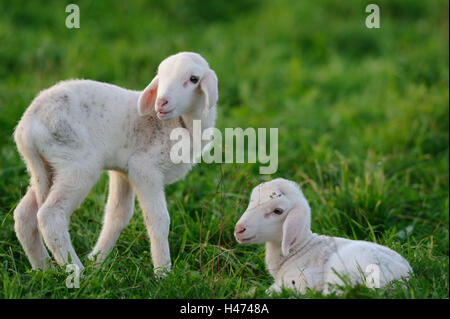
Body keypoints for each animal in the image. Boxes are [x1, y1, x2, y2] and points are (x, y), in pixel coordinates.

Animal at [13, 52, 218, 276]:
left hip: (46, 168)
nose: (161, 102)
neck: (181, 124)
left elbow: (117, 215)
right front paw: (163, 273)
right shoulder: (144, 169)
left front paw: (97, 261)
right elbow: (158, 220)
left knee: (24, 215)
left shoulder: (123, 172)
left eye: (194, 79)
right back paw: (77, 271)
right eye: (160, 76)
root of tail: (27, 128)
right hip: (76, 165)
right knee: (50, 216)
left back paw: (44, 269)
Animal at [234, 178, 414, 296]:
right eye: (251, 202)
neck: (299, 248)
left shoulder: (304, 279)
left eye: (277, 211)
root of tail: (401, 279)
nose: (239, 229)